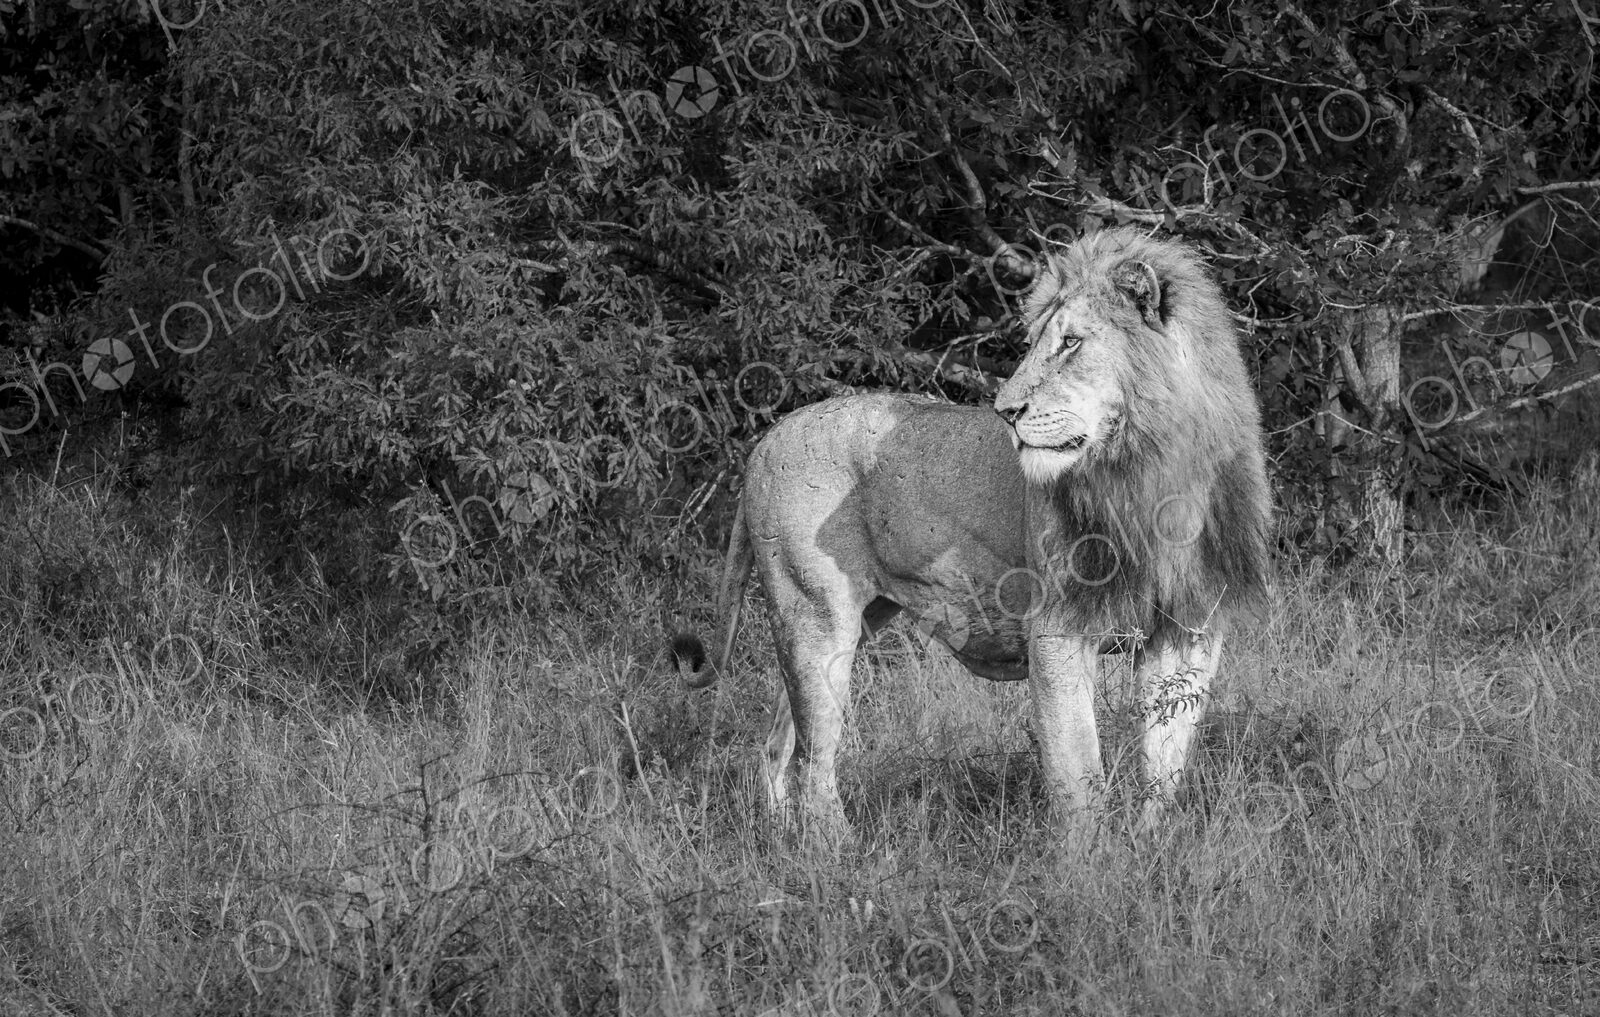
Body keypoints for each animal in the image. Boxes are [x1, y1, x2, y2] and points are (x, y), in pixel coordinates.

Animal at [672, 226, 1270, 841]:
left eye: (1071, 343)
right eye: (1035, 341)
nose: (1006, 411)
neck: (1155, 474)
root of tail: (763, 442)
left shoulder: (1188, 629)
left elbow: (1165, 767)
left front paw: (1150, 848)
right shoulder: (1057, 629)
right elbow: (1080, 772)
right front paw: (1090, 861)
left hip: (849, 621)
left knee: (777, 746)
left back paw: (780, 841)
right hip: (814, 615)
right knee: (815, 764)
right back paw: (838, 853)